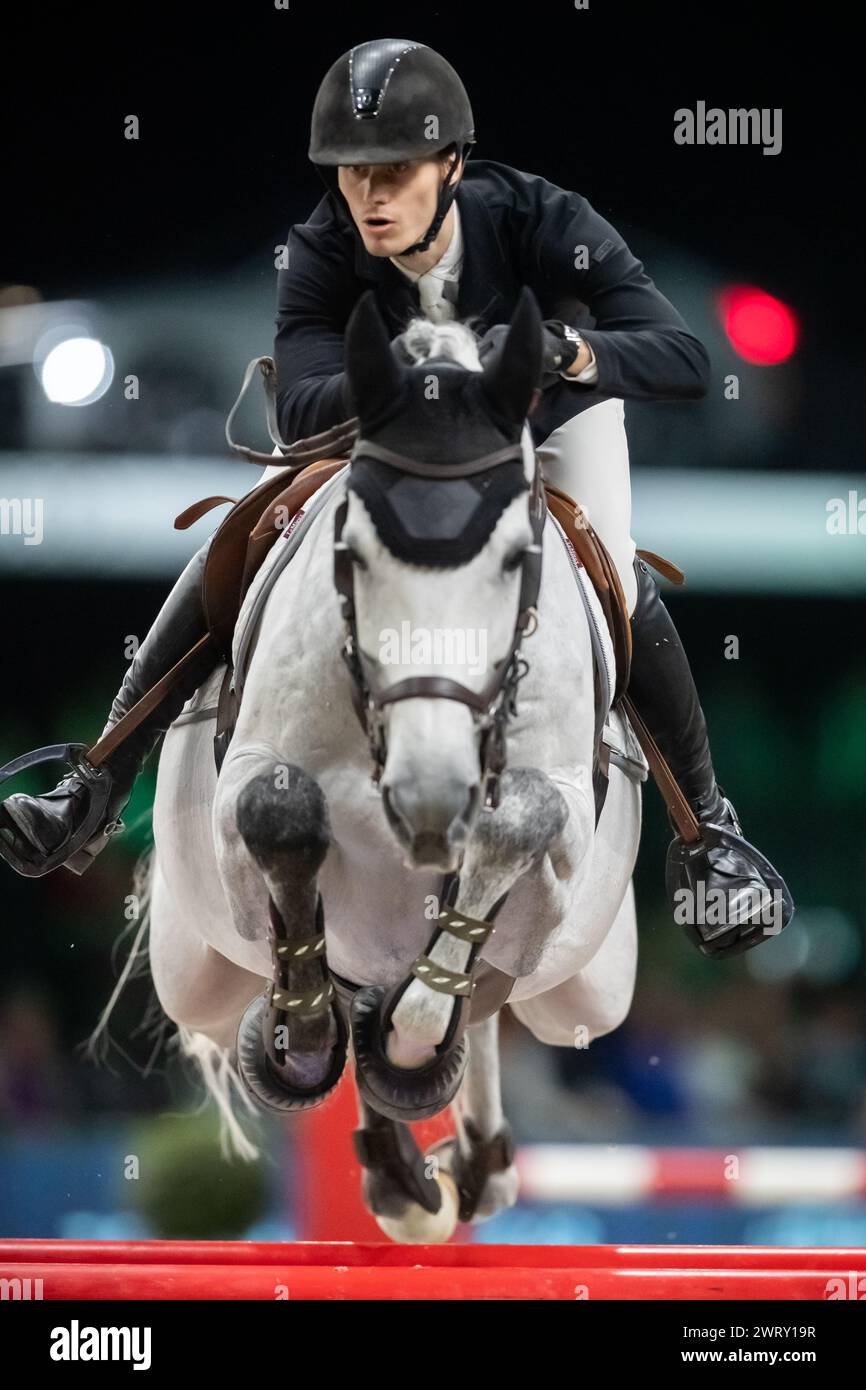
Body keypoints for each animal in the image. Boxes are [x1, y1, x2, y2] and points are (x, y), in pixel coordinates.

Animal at [143, 287, 644, 1245]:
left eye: (516, 561)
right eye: (355, 554)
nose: (430, 796)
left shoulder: (557, 823)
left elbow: (517, 828)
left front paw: (408, 1052)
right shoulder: (249, 787)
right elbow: (280, 812)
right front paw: (302, 1040)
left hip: (588, 990)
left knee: (489, 1004)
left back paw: (462, 1161)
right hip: (192, 969)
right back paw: (398, 1163)